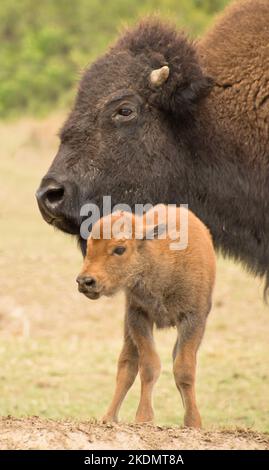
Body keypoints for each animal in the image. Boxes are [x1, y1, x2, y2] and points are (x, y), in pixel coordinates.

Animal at [76, 204, 215, 428]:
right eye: (89, 247)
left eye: (120, 249)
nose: (85, 281)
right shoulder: (138, 317)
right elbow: (149, 366)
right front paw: (144, 418)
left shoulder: (193, 319)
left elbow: (184, 369)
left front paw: (193, 422)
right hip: (128, 327)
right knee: (127, 366)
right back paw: (108, 417)